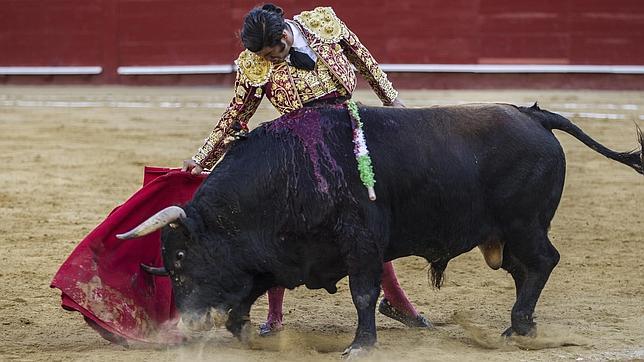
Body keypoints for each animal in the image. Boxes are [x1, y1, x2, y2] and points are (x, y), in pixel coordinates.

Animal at [118, 102, 640, 354]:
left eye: (180, 257)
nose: (183, 324)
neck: (288, 171)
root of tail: (534, 114)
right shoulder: (272, 257)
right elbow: (243, 301)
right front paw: (253, 337)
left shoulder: (362, 244)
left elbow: (363, 293)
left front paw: (360, 344)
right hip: (507, 235)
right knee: (523, 270)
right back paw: (520, 326)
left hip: (525, 225)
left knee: (542, 262)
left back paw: (517, 327)